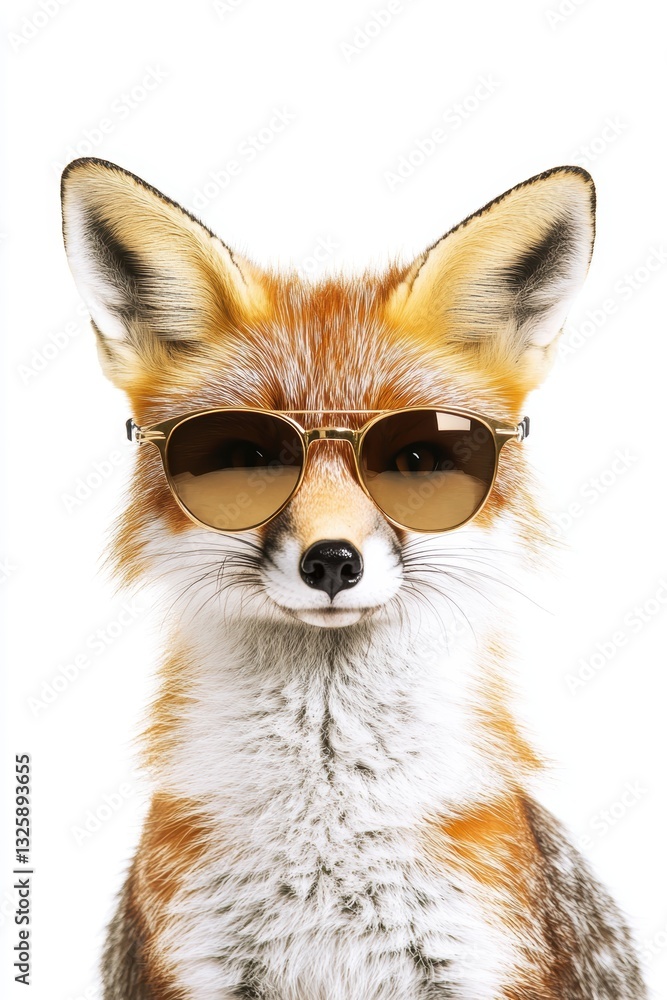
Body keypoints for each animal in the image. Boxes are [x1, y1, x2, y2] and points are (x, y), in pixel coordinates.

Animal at [61, 157, 646, 1000]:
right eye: (246, 455)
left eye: (415, 458)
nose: (332, 561)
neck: (327, 826)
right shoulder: (198, 966)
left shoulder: (476, 959)